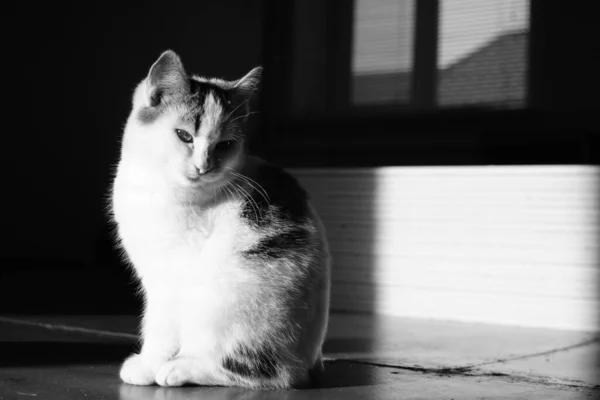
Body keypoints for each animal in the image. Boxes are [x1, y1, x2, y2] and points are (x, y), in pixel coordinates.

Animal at [110, 50, 330, 390]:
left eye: (225, 145)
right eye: (184, 135)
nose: (204, 166)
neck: (156, 184)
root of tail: (313, 363)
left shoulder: (171, 277)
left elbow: (159, 326)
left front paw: (149, 364)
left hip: (223, 299)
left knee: (271, 374)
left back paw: (181, 369)